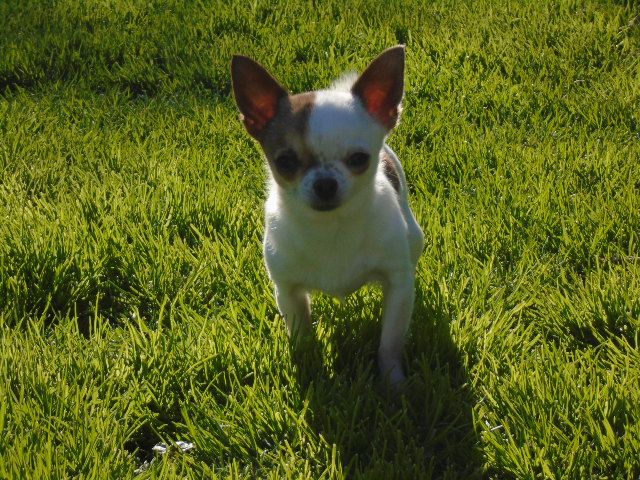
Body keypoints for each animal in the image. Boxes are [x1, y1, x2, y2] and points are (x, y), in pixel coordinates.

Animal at [231, 46, 424, 385]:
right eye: (285, 162)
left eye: (359, 159)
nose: (325, 183)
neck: (331, 227)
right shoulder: (288, 292)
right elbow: (301, 335)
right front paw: (309, 369)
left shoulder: (398, 285)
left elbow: (390, 341)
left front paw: (393, 381)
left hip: (414, 239)